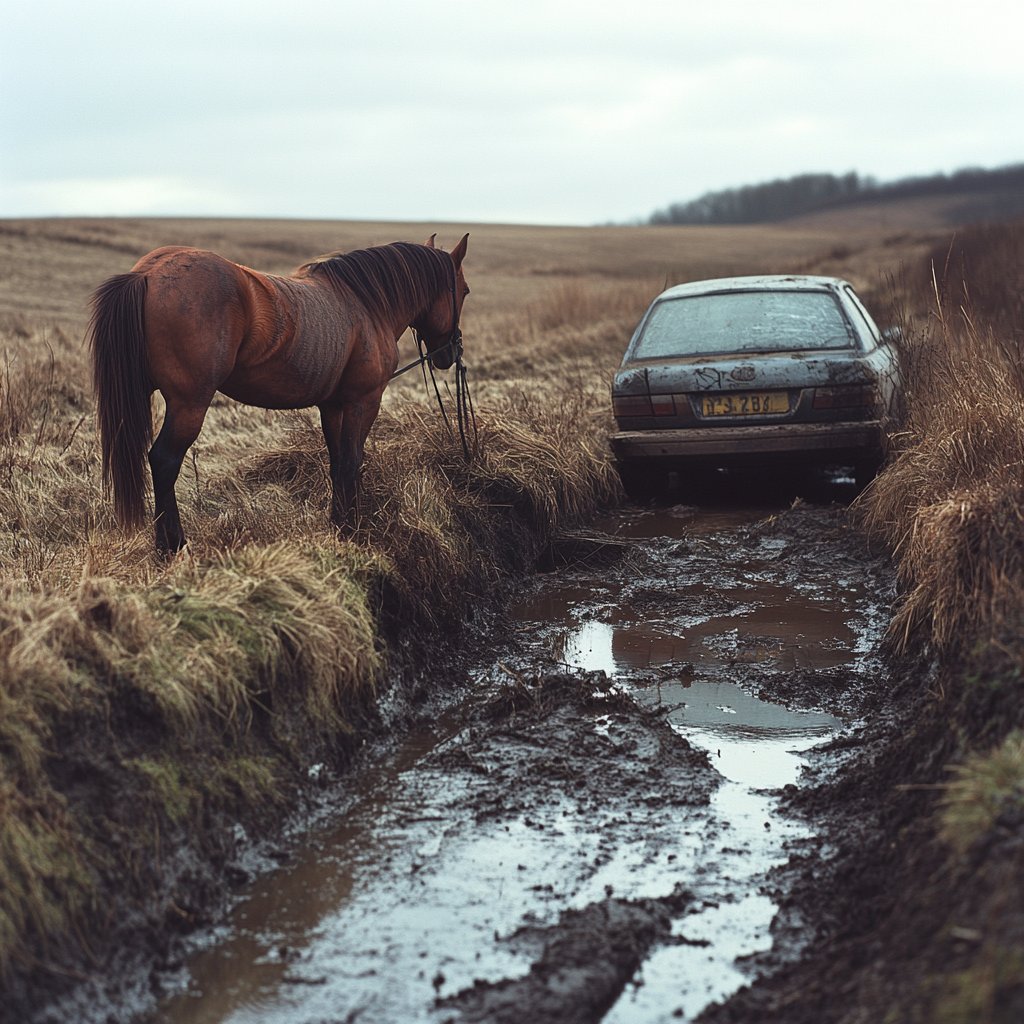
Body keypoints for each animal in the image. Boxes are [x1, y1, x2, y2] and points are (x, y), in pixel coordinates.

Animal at [89, 234, 471, 552]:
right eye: (465, 291)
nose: (451, 353)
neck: (366, 305)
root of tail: (149, 272)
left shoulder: (332, 406)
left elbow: (337, 464)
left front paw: (338, 524)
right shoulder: (364, 401)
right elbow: (352, 463)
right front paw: (354, 530)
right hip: (189, 404)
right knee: (164, 461)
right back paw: (173, 546)